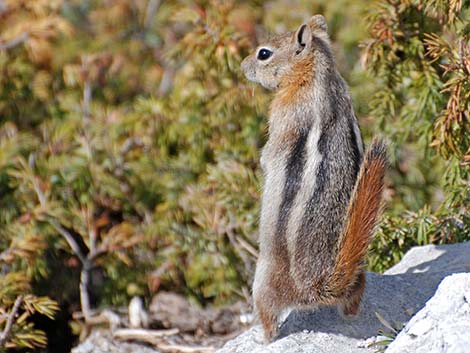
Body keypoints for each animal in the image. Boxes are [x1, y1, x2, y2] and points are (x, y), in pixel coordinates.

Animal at [241, 14, 388, 340]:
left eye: (263, 54)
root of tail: (319, 285)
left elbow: (269, 154)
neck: (318, 75)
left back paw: (263, 338)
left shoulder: (284, 117)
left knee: (268, 313)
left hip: (263, 280)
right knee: (354, 301)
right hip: (359, 277)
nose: (243, 66)